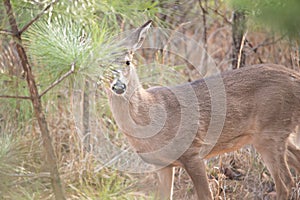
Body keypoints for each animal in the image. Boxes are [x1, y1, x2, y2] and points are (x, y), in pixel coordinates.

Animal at [104, 19, 300, 199]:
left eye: (128, 62)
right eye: (103, 66)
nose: (119, 86)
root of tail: (295, 77)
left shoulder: (193, 152)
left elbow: (206, 195)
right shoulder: (162, 165)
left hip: (270, 133)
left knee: (286, 184)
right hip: (277, 133)